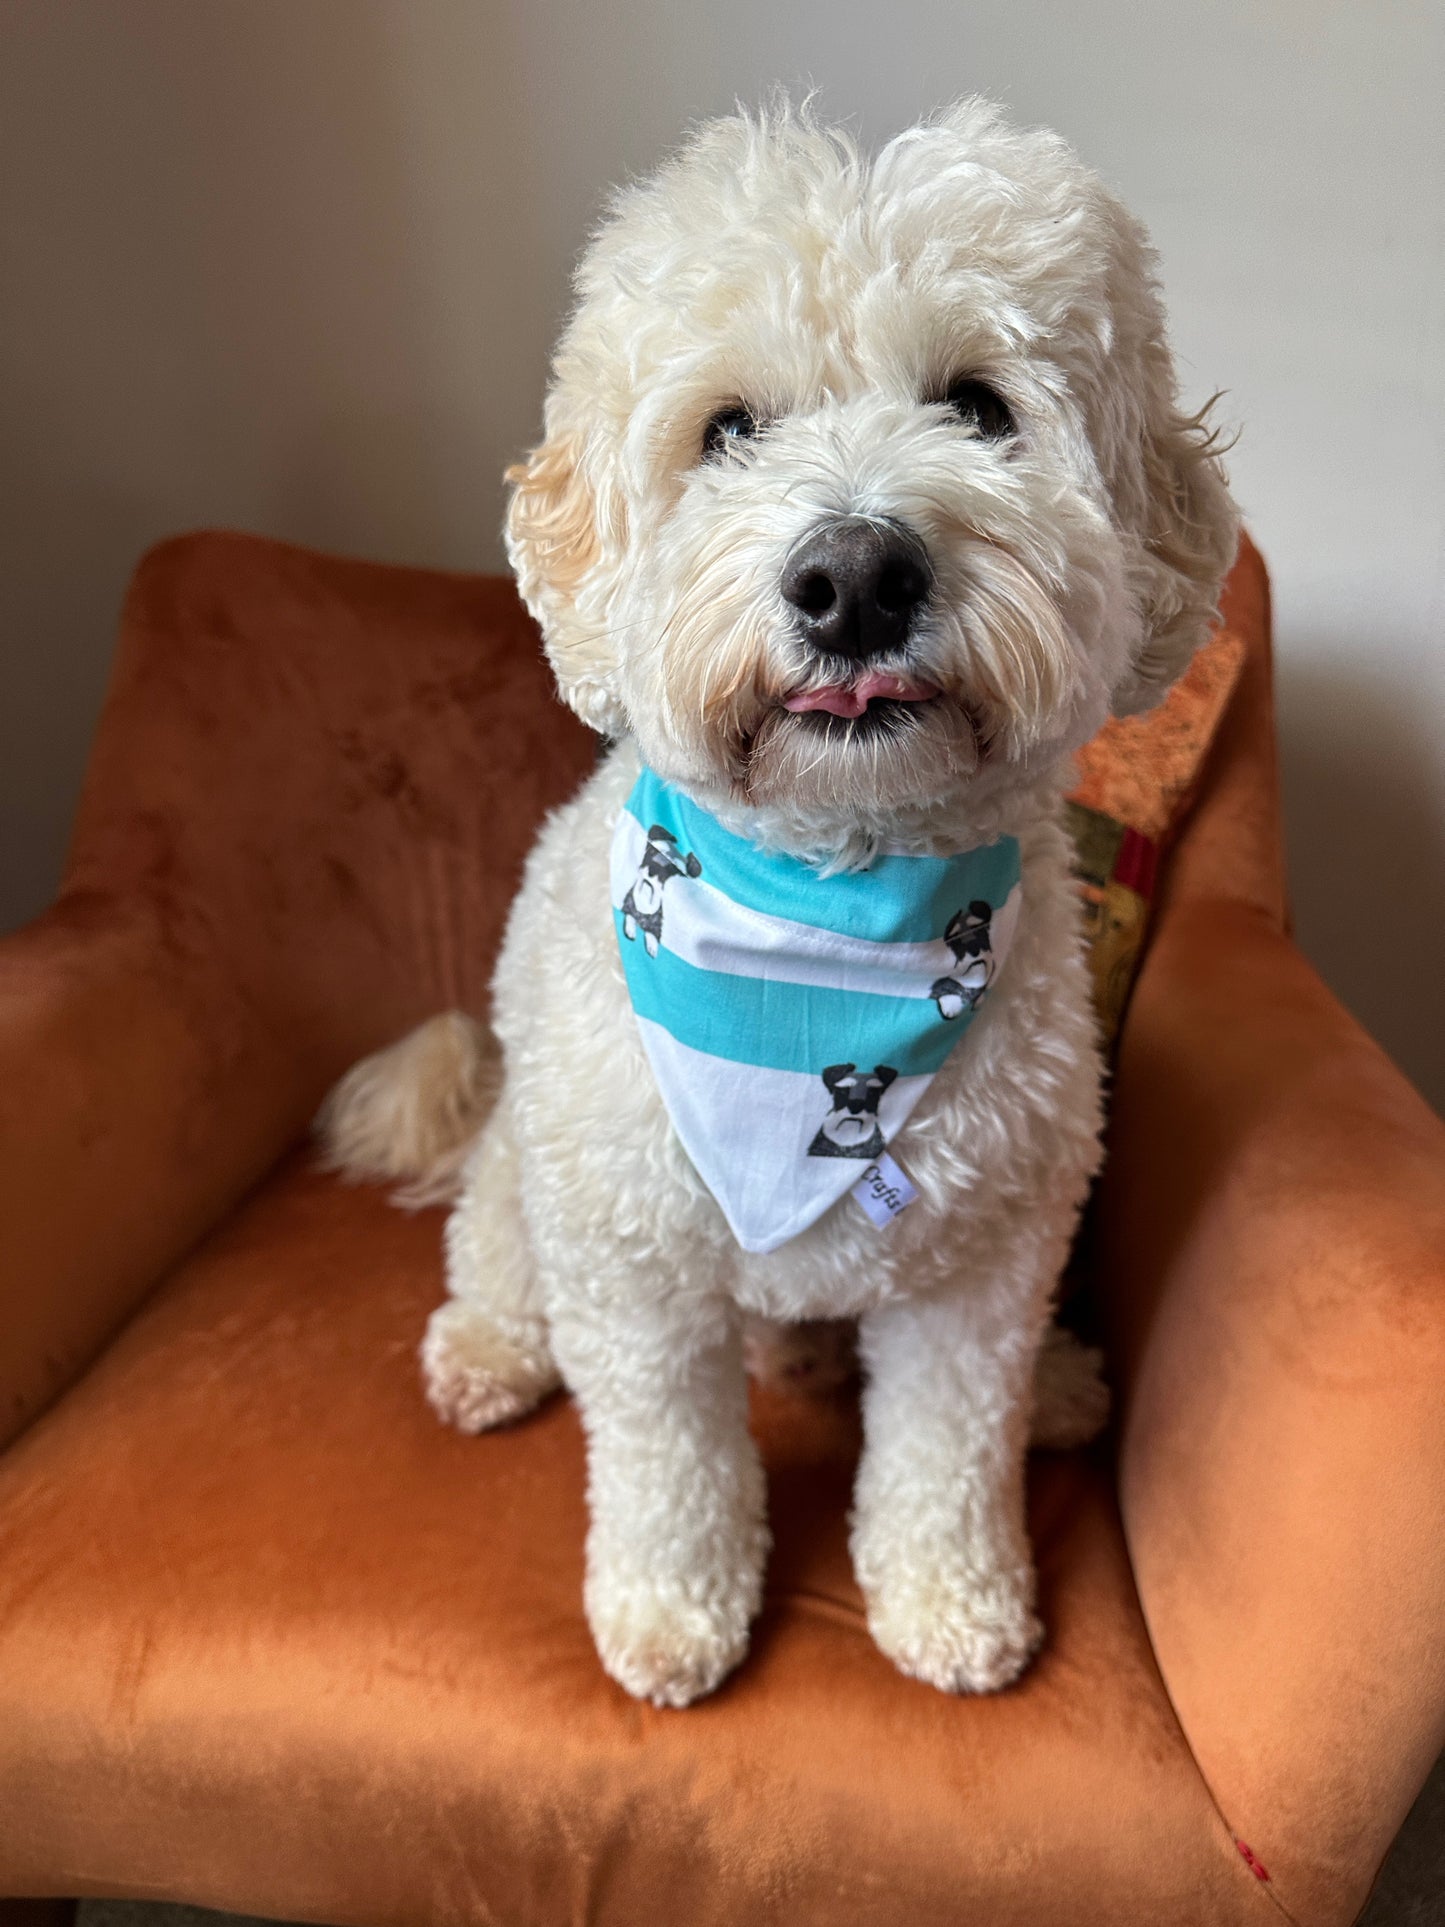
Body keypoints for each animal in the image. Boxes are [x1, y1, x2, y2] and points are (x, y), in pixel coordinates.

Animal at [321, 97, 1240, 1711]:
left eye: (978, 406)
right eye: (727, 429)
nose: (854, 574)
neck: (832, 913)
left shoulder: (982, 1267)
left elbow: (948, 1447)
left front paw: (949, 1597)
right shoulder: (636, 1268)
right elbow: (667, 1459)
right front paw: (669, 1610)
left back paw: (1049, 1386)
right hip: (532, 1172)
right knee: (494, 1250)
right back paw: (489, 1349)